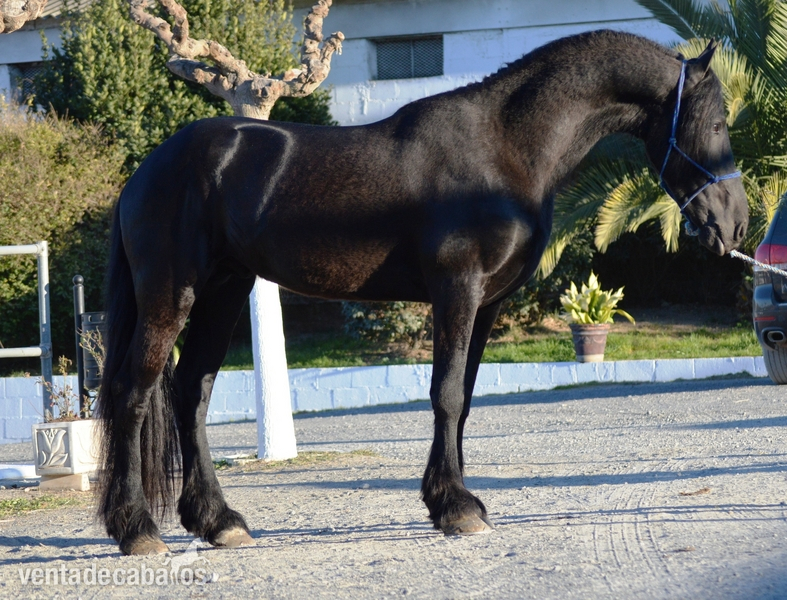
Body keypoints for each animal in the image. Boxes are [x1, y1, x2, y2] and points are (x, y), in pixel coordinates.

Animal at [97, 30, 749, 555]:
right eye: (716, 124)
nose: (736, 224)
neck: (504, 145)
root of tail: (146, 171)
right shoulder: (457, 290)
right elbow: (447, 395)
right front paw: (456, 507)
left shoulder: (487, 303)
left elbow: (466, 399)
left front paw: (451, 500)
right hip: (171, 294)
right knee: (134, 394)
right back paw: (137, 530)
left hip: (224, 292)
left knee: (192, 393)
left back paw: (218, 521)